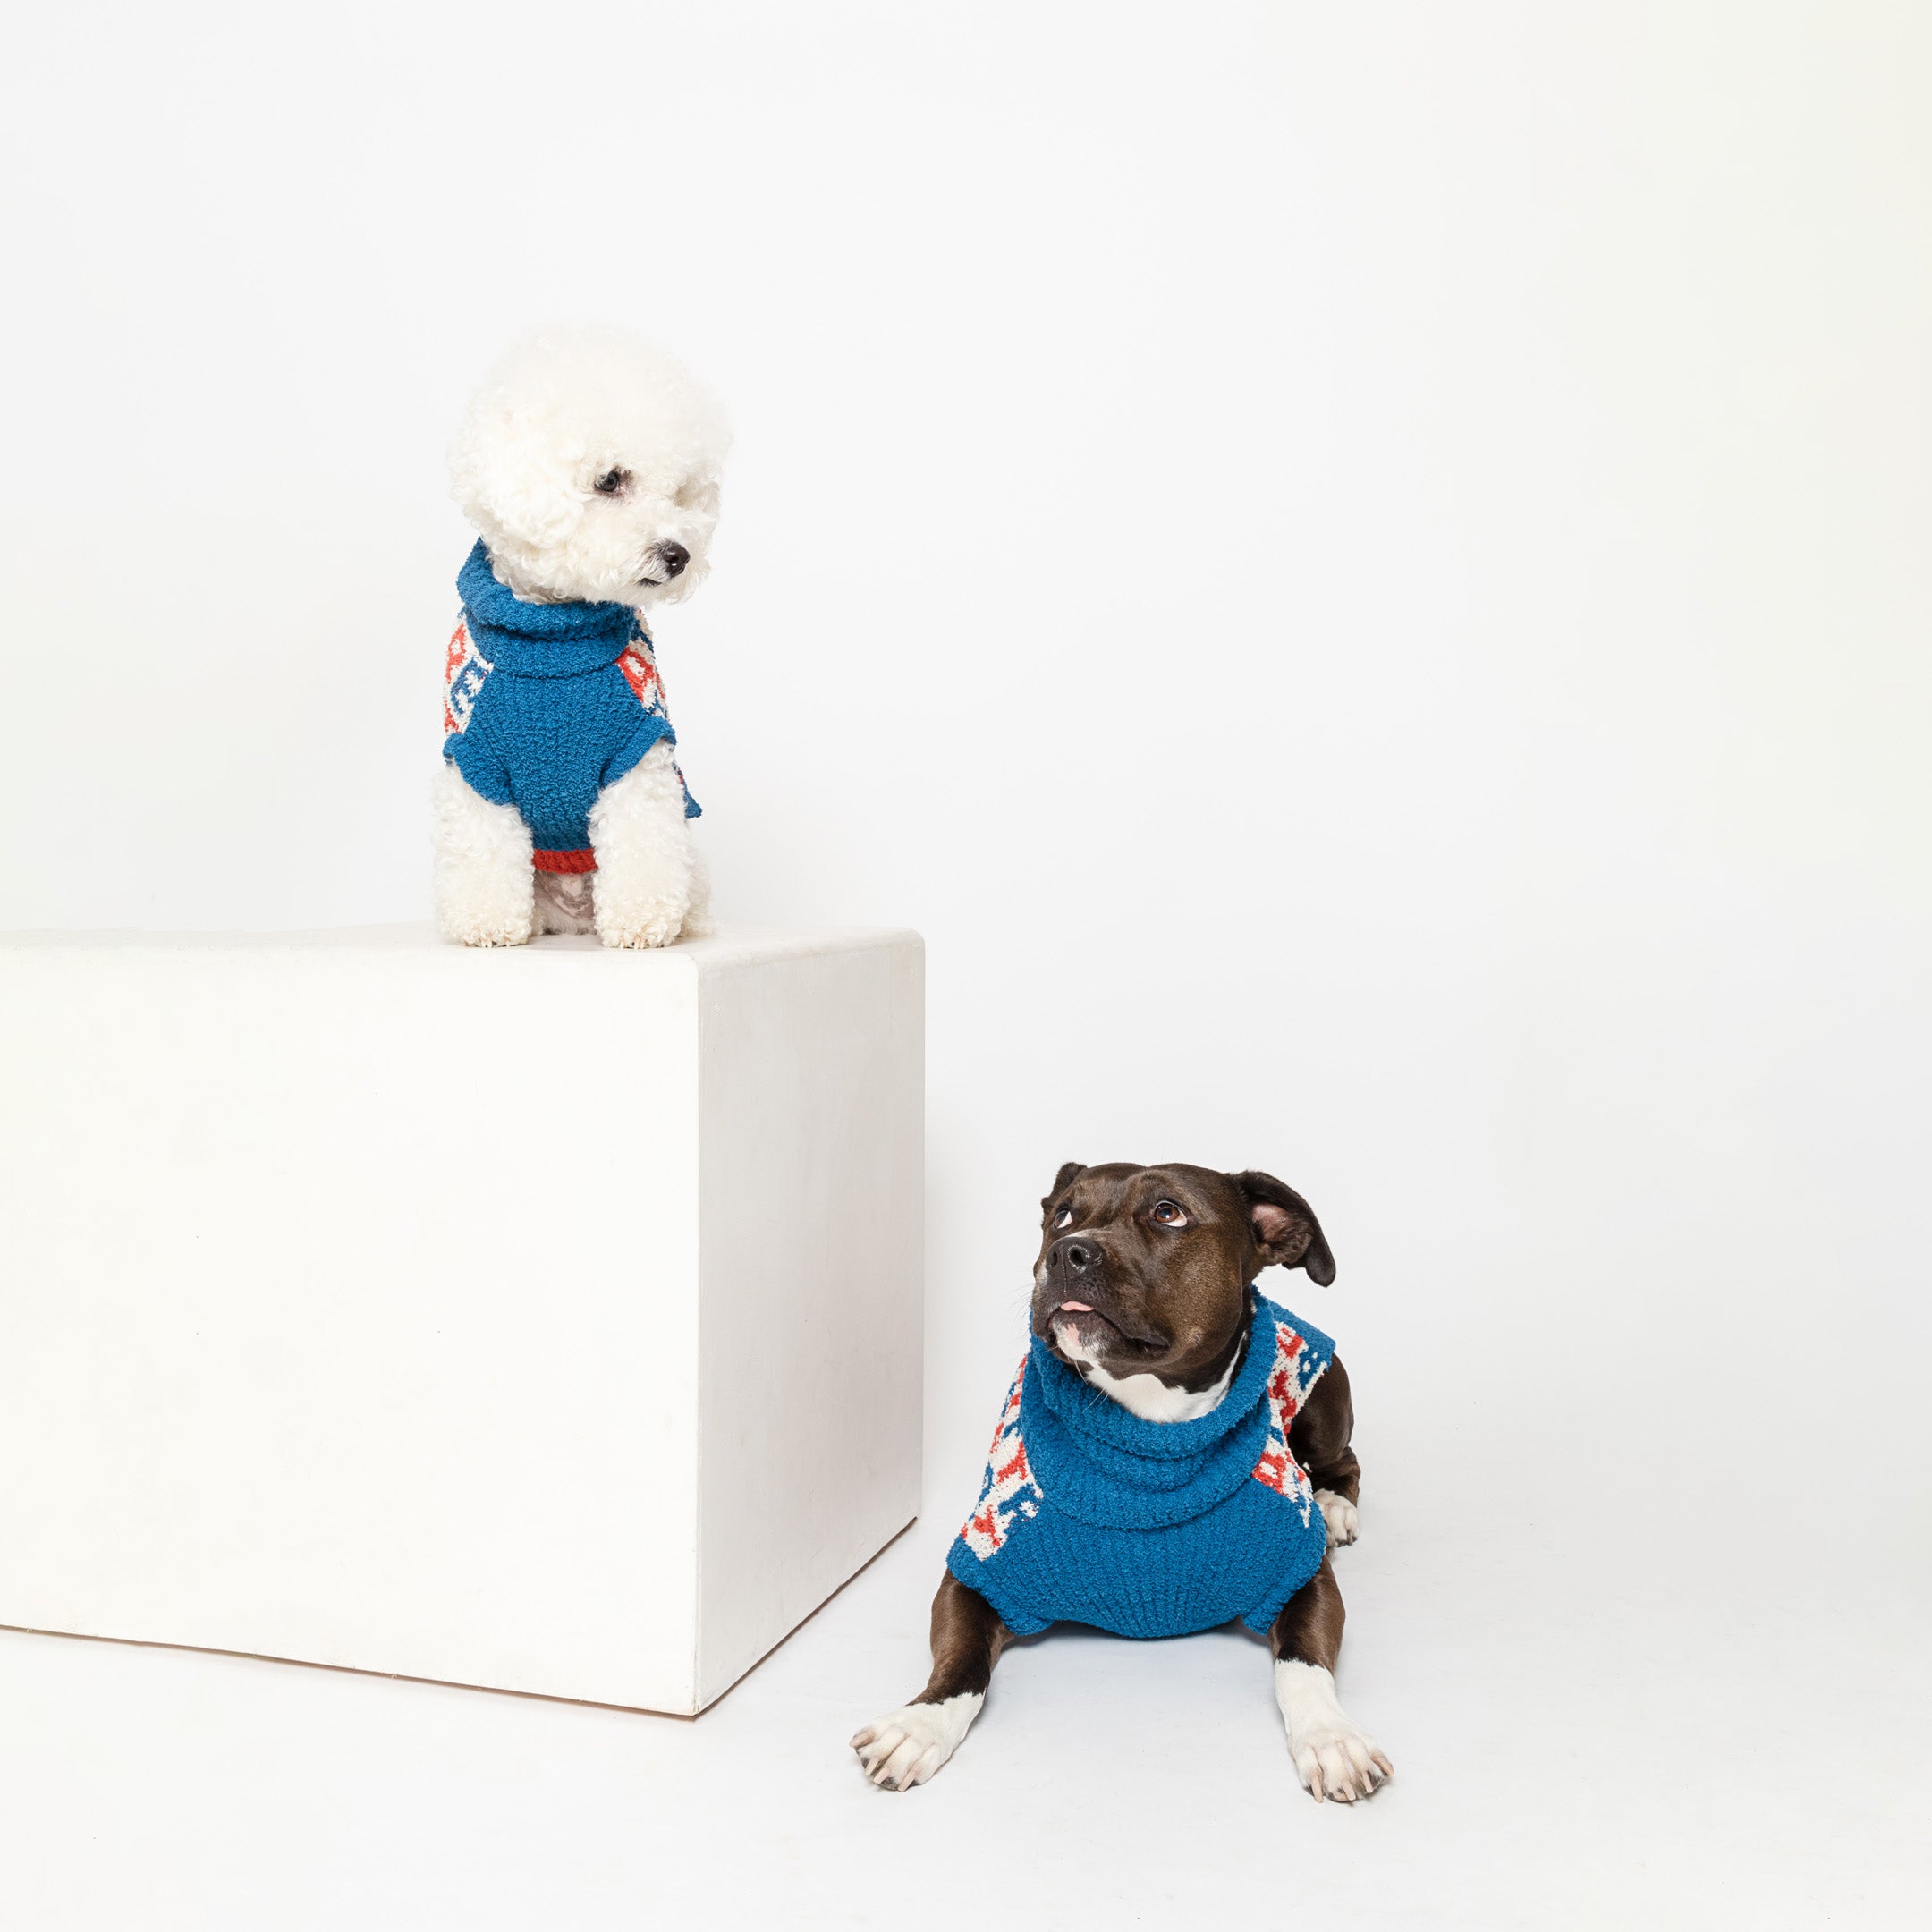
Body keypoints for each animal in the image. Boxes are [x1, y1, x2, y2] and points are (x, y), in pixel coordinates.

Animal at [435, 326, 726, 950]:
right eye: (609, 480)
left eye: (680, 493)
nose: (679, 555)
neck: (551, 641)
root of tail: (570, 916)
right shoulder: (473, 760)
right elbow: (482, 849)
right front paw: (485, 920)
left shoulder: (638, 752)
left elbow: (643, 841)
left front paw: (642, 920)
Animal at [850, 1166, 1391, 1801]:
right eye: (1061, 1214)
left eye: (1168, 1212)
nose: (1065, 1252)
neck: (1148, 1435)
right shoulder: (980, 1569)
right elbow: (960, 1661)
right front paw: (920, 1723)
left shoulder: (1299, 1573)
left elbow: (1303, 1661)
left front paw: (1331, 1737)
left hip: (1324, 1403)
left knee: (1345, 1462)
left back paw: (1333, 1507)